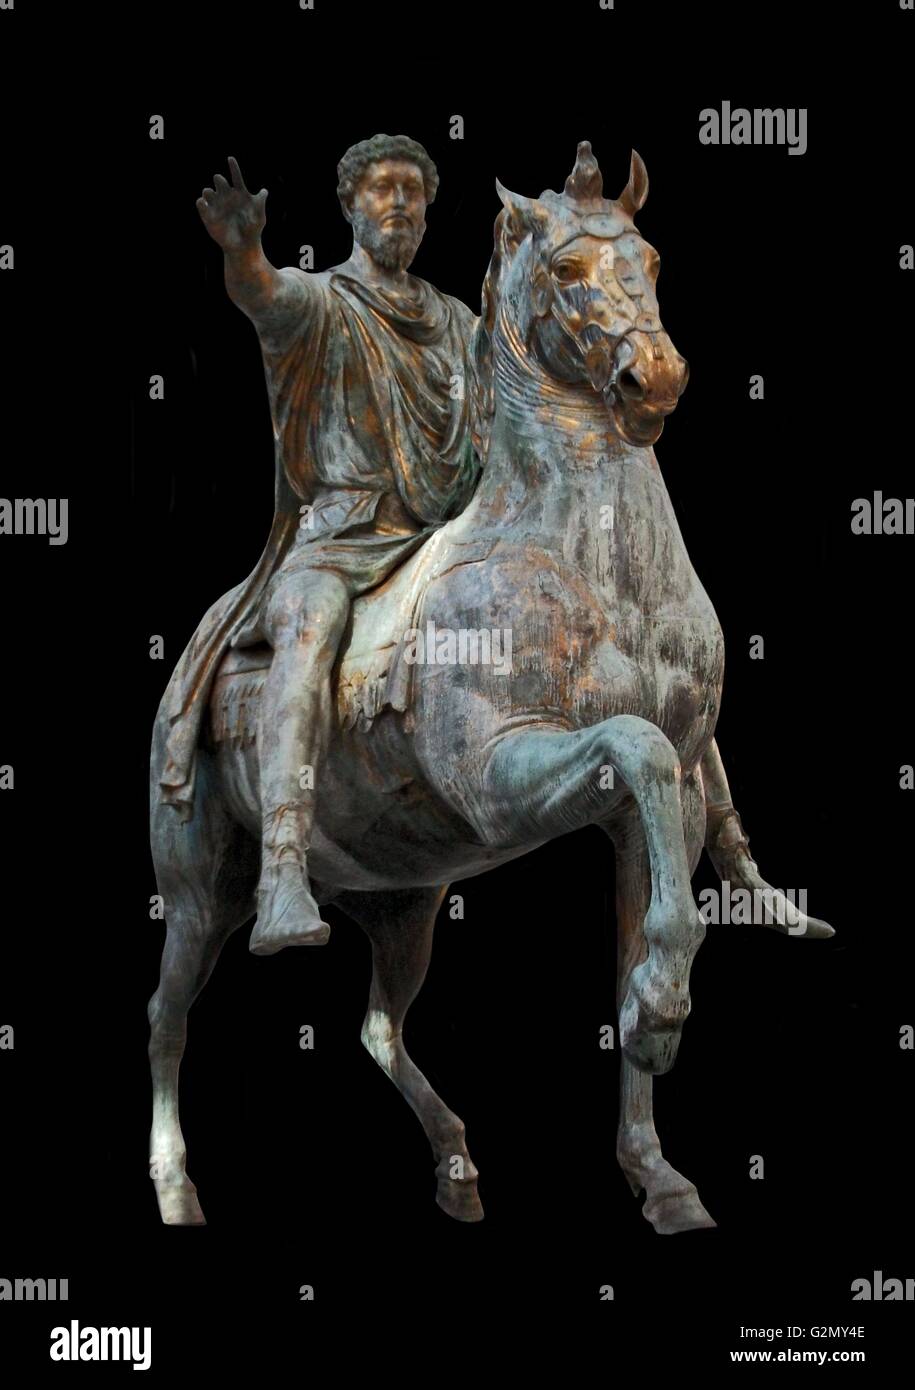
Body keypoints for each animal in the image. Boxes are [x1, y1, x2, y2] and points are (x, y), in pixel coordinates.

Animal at [146, 138, 828, 1228]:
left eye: (651, 257)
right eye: (567, 269)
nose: (654, 378)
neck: (586, 561)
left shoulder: (664, 803)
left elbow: (651, 924)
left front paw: (658, 1157)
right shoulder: (503, 778)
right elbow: (633, 745)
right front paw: (661, 1019)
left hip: (407, 901)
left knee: (379, 1026)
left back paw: (458, 1165)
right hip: (199, 888)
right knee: (167, 1015)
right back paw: (177, 1182)